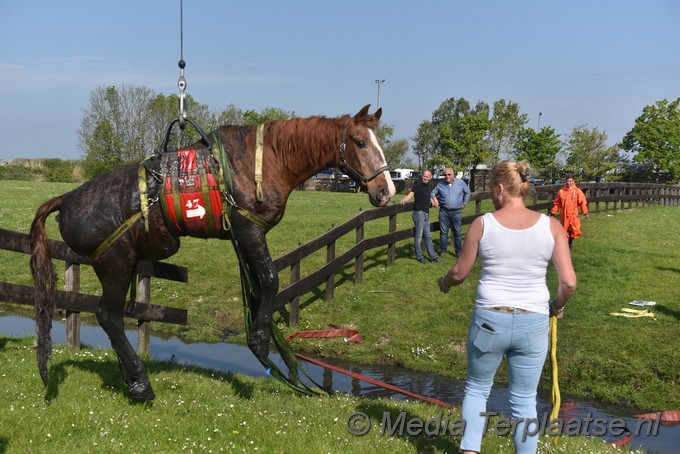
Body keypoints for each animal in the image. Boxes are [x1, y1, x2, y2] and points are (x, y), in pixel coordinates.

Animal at [30, 104, 394, 400]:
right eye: (360, 142)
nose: (386, 190)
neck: (265, 161)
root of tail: (67, 199)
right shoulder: (249, 229)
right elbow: (271, 280)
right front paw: (260, 340)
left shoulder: (246, 236)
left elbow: (259, 285)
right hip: (115, 262)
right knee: (109, 316)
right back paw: (140, 383)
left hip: (124, 262)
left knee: (111, 317)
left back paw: (130, 377)